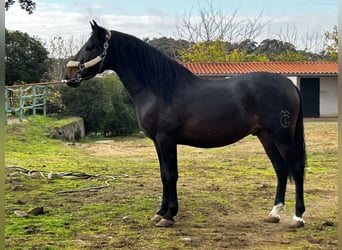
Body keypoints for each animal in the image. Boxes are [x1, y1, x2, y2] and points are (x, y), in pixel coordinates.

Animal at [63, 21, 308, 229]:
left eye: (90, 46)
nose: (68, 74)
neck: (160, 89)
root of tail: (289, 84)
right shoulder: (158, 142)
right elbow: (163, 174)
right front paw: (160, 213)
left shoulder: (167, 140)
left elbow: (171, 175)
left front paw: (169, 215)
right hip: (265, 136)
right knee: (281, 169)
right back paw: (274, 213)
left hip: (281, 137)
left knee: (295, 169)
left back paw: (297, 217)